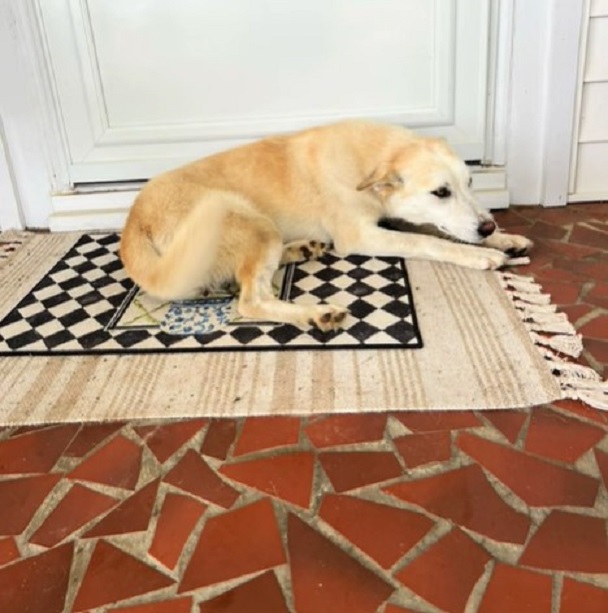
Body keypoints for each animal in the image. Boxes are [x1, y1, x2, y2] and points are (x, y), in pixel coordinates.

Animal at [121, 120, 528, 330]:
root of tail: (134, 221)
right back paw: (315, 313)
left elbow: (433, 230)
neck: (372, 158)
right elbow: (429, 242)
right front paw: (480, 256)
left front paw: (503, 240)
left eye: (470, 183)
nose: (488, 227)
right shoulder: (362, 235)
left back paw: (300, 248)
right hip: (254, 223)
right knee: (252, 300)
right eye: (441, 192)